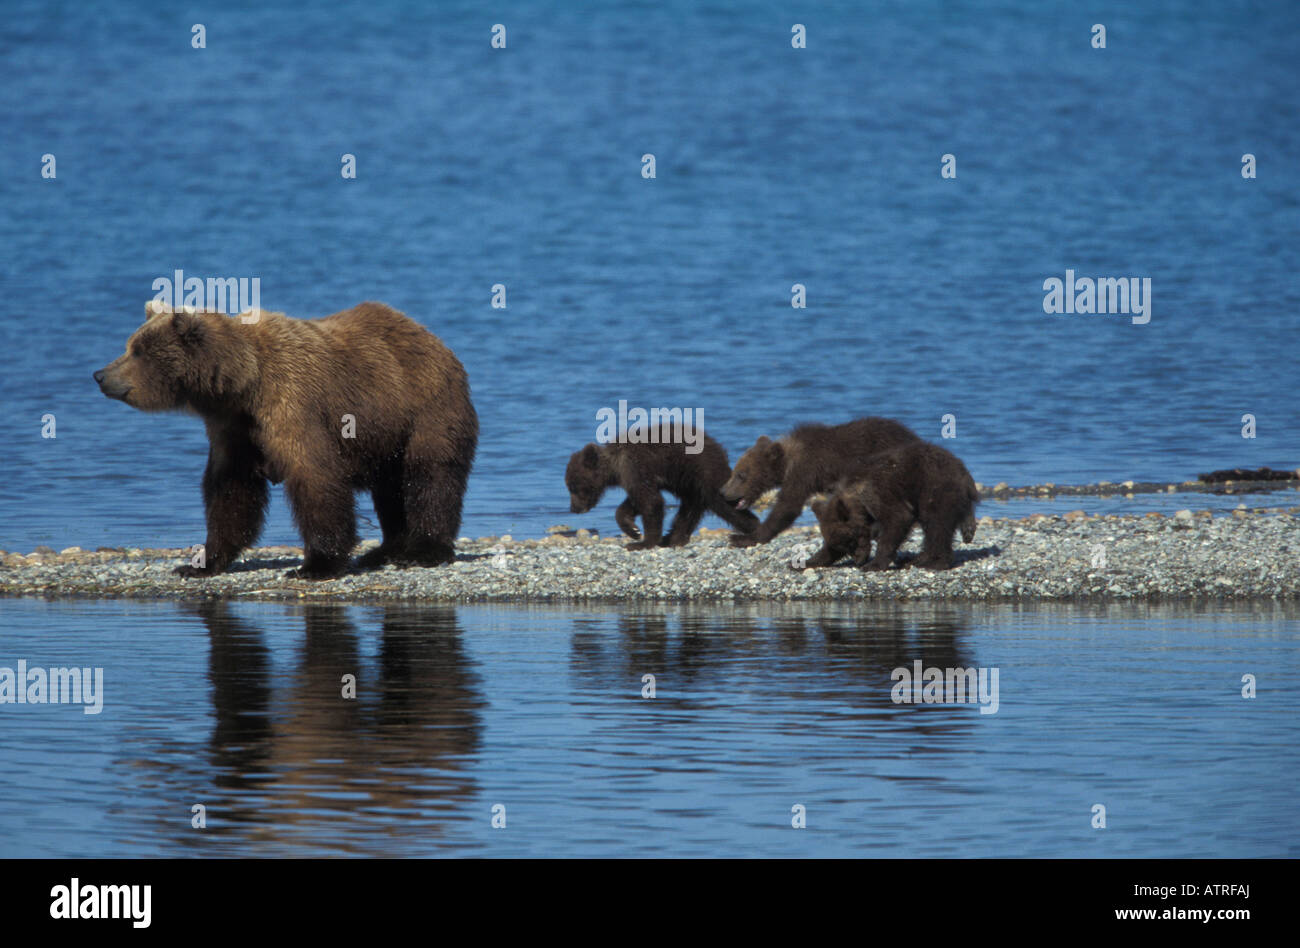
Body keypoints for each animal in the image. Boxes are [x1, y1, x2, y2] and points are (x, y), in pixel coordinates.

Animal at [94, 300, 478, 579]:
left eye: (138, 351)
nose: (100, 375)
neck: (243, 386)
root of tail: (431, 337)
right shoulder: (233, 429)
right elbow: (229, 490)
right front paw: (200, 562)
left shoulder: (292, 405)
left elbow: (315, 476)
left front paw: (316, 565)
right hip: (387, 431)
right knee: (390, 488)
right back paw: (384, 550)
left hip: (426, 407)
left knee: (429, 476)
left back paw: (423, 550)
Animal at [565, 430, 759, 549]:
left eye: (574, 487)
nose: (573, 508)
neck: (615, 467)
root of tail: (720, 450)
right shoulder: (637, 476)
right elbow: (637, 500)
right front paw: (634, 530)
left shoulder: (635, 466)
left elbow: (650, 501)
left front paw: (642, 542)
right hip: (688, 481)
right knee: (690, 508)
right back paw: (674, 537)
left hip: (704, 471)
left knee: (722, 503)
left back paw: (753, 527)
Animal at [720, 417, 920, 547]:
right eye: (735, 471)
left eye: (741, 475)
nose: (723, 491)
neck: (788, 461)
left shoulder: (804, 471)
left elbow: (787, 506)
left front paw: (743, 538)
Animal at [804, 441, 978, 571]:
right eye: (844, 546)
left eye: (851, 541)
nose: (859, 560)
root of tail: (964, 472)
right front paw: (812, 560)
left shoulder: (879, 493)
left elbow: (898, 519)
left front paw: (874, 564)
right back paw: (919, 558)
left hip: (936, 488)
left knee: (937, 523)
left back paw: (935, 562)